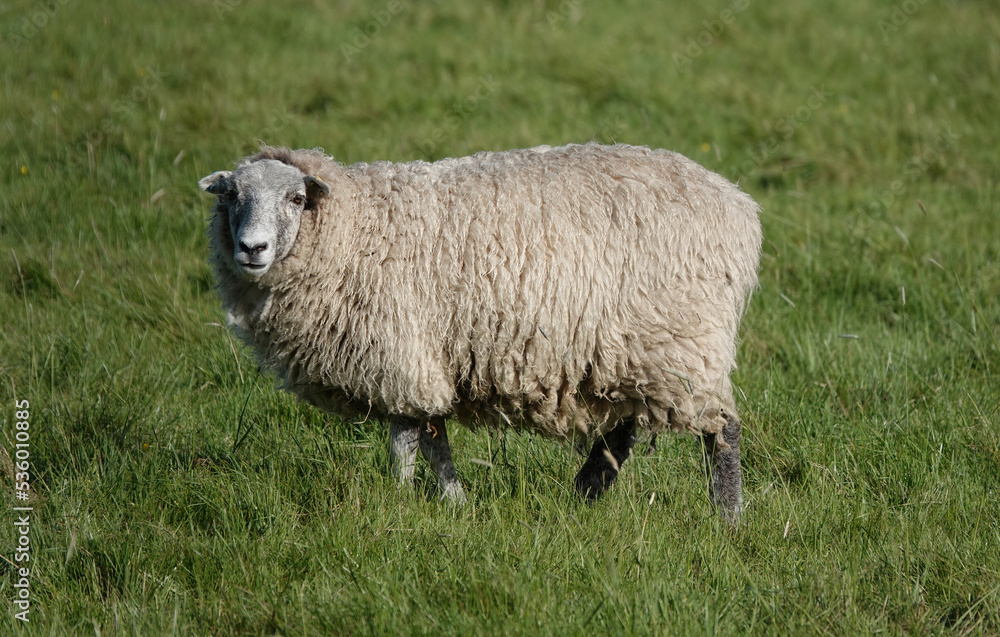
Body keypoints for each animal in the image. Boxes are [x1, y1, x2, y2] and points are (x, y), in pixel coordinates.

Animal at [198, 142, 761, 518]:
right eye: (232, 195)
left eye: (296, 198)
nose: (252, 248)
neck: (357, 228)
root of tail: (738, 205)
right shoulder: (417, 358)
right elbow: (432, 438)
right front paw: (455, 501)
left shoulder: (398, 352)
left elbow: (407, 440)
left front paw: (400, 500)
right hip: (633, 349)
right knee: (627, 424)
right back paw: (585, 490)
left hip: (682, 339)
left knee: (722, 429)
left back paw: (728, 518)